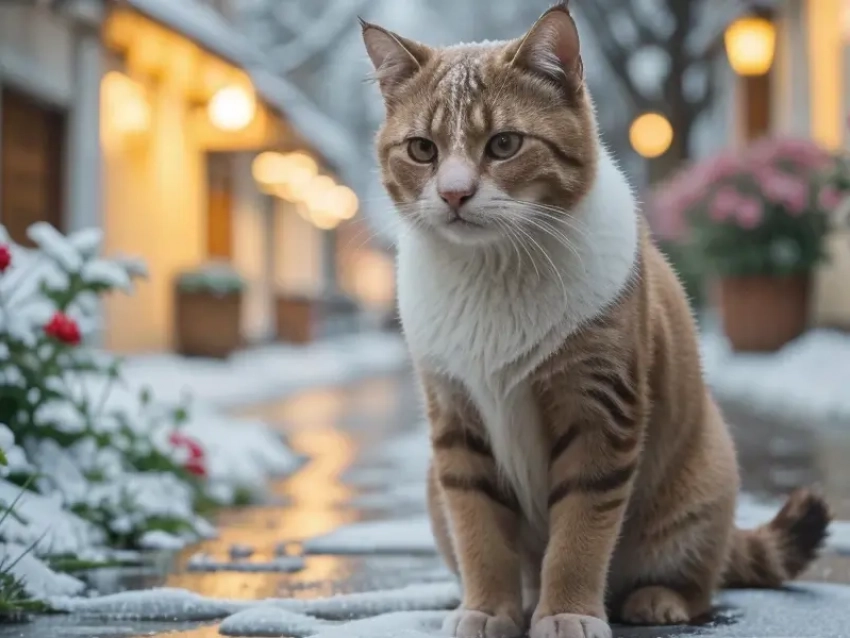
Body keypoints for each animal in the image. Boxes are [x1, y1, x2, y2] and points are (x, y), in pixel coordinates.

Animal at [358, 2, 828, 636]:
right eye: (422, 150)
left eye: (504, 144)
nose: (454, 194)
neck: (493, 270)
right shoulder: (456, 419)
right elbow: (479, 529)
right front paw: (487, 608)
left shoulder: (600, 410)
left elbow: (580, 532)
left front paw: (568, 613)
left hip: (706, 478)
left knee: (700, 577)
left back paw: (658, 598)